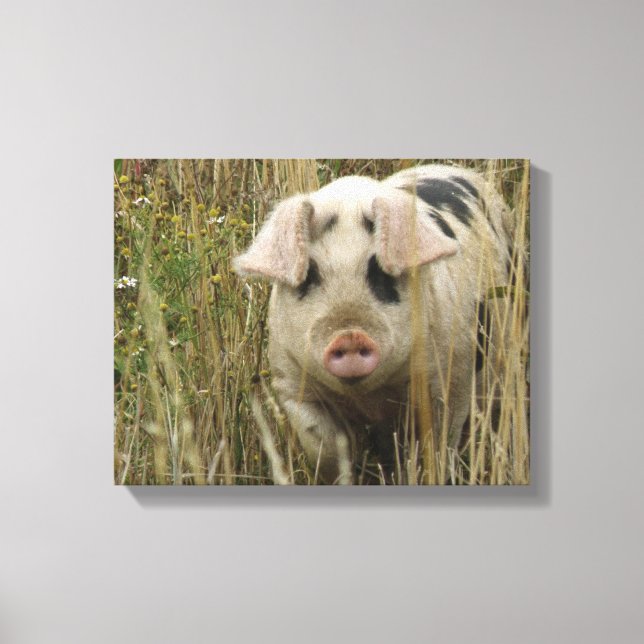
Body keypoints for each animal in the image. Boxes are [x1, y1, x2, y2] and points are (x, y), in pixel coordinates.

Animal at [234, 164, 514, 484]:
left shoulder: (451, 378)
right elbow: (325, 448)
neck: (369, 398)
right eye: (310, 275)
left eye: (380, 270)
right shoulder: (293, 383)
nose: (350, 336)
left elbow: (437, 447)